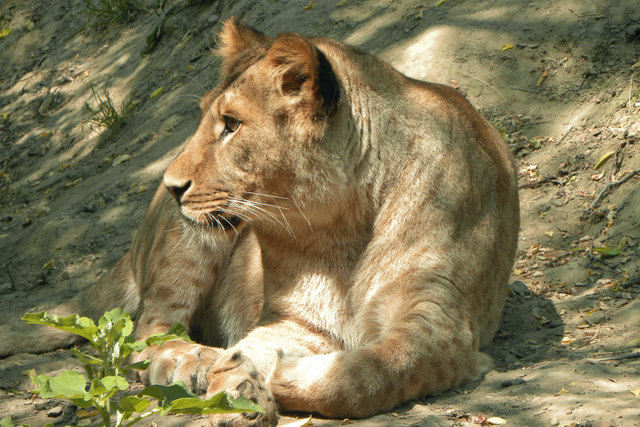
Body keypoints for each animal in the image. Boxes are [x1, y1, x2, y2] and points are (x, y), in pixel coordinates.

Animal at [0, 17, 519, 426]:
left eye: (231, 124)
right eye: (205, 117)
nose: (171, 185)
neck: (346, 222)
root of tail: (131, 252)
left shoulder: (440, 325)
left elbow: (369, 371)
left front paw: (276, 374)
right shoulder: (296, 320)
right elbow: (260, 350)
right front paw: (234, 381)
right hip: (186, 244)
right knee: (145, 333)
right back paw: (189, 360)